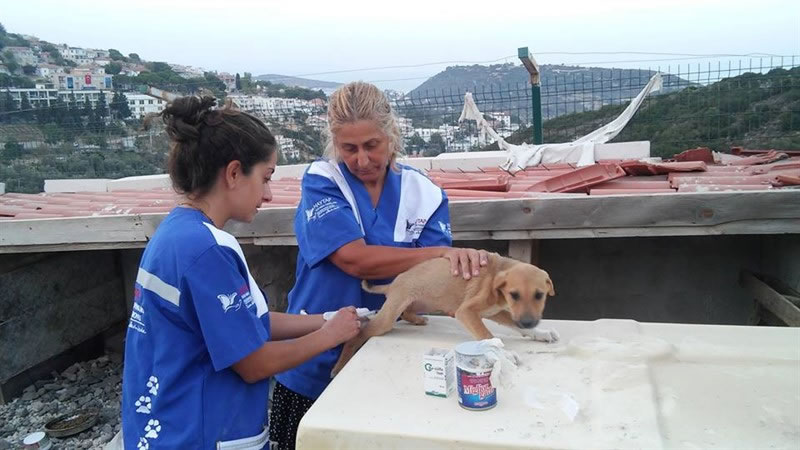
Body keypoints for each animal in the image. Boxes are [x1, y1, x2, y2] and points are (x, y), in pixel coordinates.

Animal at [332, 253, 556, 376]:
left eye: (539, 295)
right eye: (514, 295)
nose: (529, 322)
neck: (497, 275)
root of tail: (394, 283)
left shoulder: (496, 312)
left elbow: (515, 326)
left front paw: (541, 333)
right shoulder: (467, 311)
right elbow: (487, 335)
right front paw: (506, 353)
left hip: (417, 302)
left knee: (406, 313)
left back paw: (418, 319)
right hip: (387, 319)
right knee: (359, 332)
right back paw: (340, 365)